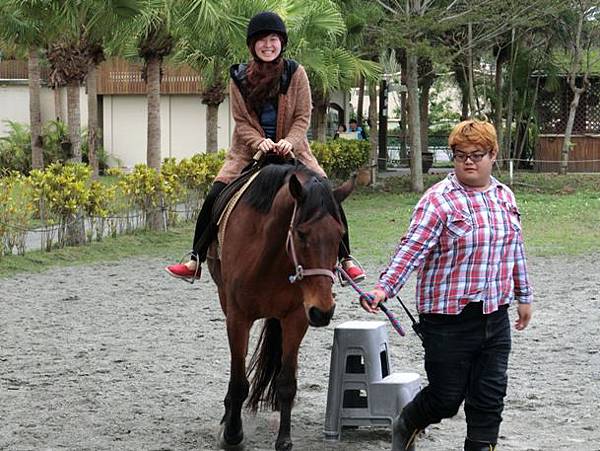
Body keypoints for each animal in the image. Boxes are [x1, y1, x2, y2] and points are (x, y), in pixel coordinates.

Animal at [209, 161, 354, 450]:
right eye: (301, 234)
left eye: (340, 235)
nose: (323, 310)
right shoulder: (237, 318)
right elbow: (239, 380)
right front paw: (232, 434)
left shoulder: (296, 318)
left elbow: (287, 382)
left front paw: (284, 440)